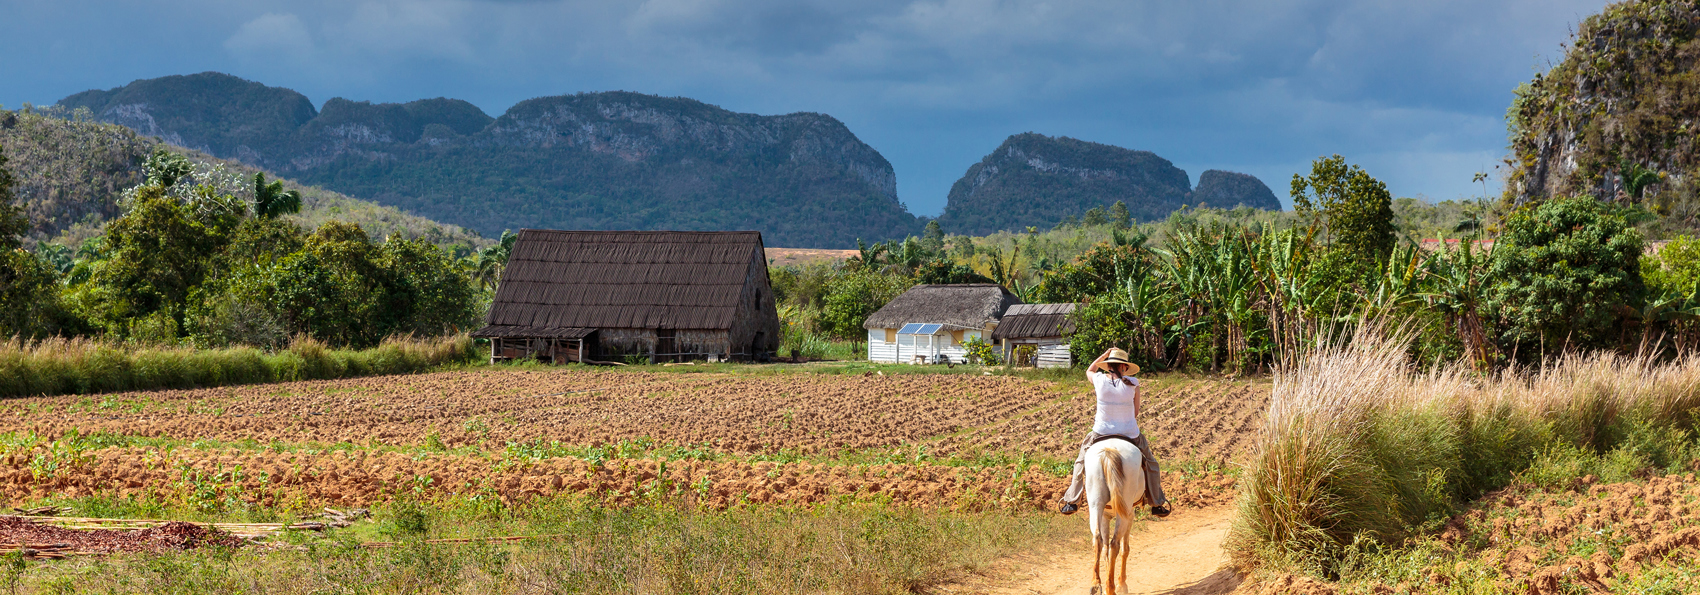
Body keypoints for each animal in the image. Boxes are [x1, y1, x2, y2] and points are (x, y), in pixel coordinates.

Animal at [1081, 438, 1149, 595]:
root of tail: (1108, 451)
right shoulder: (1130, 515)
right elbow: (1125, 549)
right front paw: (1121, 584)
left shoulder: (1104, 517)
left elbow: (1104, 548)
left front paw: (1106, 580)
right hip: (1124, 513)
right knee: (1115, 544)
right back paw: (1112, 588)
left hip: (1095, 505)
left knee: (1098, 539)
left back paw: (1096, 584)